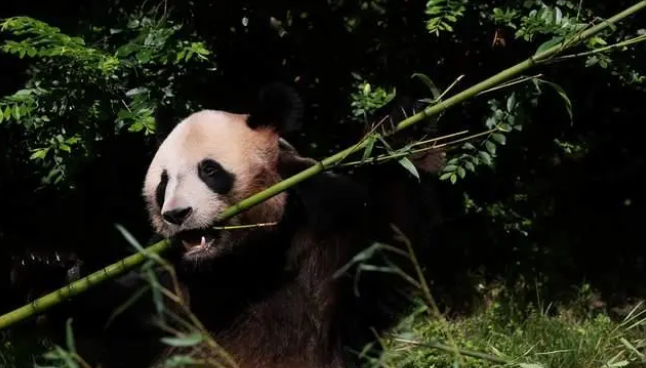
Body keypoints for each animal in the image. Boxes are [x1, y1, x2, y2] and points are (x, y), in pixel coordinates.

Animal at [7, 82, 446, 368]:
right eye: (163, 184)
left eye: (209, 171)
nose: (176, 215)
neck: (243, 263)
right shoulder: (171, 291)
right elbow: (105, 332)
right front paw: (45, 270)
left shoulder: (330, 226)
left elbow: (395, 261)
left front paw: (406, 126)